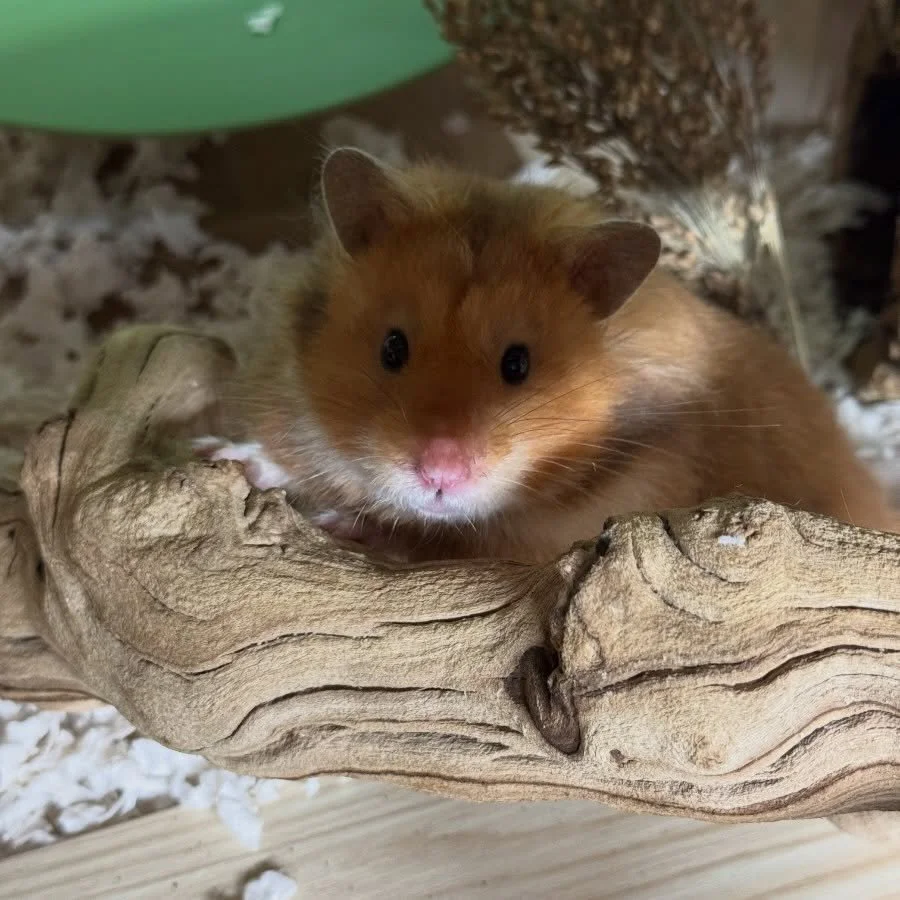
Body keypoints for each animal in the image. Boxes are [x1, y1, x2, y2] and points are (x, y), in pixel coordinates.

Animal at [200, 147, 896, 564]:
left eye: (518, 364)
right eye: (391, 347)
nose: (439, 472)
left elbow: (443, 542)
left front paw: (347, 525)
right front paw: (222, 455)